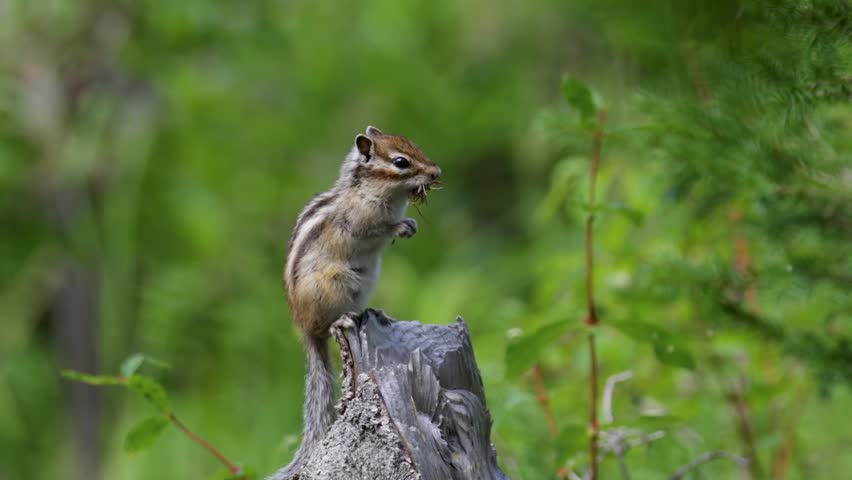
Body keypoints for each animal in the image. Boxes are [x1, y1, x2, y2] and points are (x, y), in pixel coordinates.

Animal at [273, 126, 441, 478]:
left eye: (413, 145)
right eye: (401, 162)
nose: (436, 172)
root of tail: (304, 329)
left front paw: (412, 224)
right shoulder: (360, 222)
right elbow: (374, 229)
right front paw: (400, 227)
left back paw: (371, 311)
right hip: (334, 285)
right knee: (326, 326)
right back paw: (340, 320)